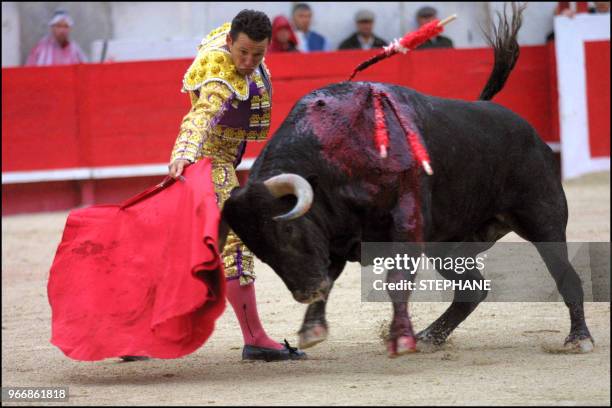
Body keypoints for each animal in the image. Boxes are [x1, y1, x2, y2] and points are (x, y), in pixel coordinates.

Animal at [219, 6, 592, 356]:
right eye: (260, 251)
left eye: (287, 229)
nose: (306, 291)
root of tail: (529, 132)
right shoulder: (334, 232)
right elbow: (333, 271)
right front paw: (313, 329)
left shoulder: (405, 219)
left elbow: (396, 279)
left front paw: (399, 339)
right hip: (448, 244)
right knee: (472, 289)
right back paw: (430, 336)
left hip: (543, 220)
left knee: (565, 274)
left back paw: (579, 338)